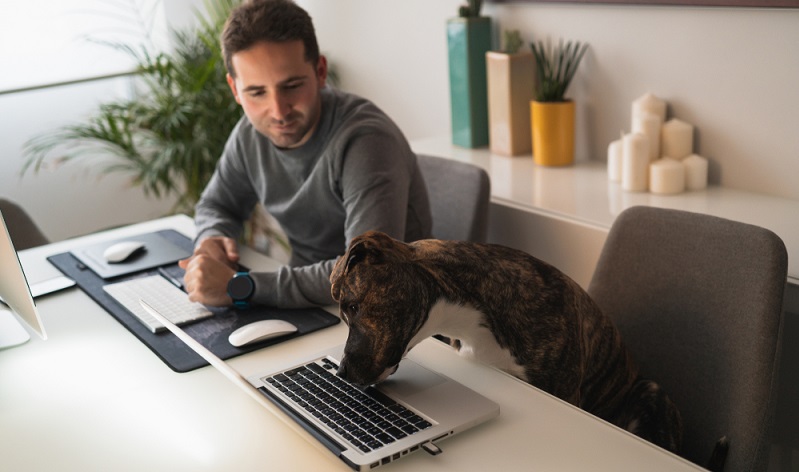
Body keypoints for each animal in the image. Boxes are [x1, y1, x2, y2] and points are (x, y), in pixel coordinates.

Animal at [328, 230, 684, 456]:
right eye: (344, 313)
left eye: (354, 307)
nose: (341, 372)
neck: (473, 315)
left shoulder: (564, 392)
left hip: (650, 391)